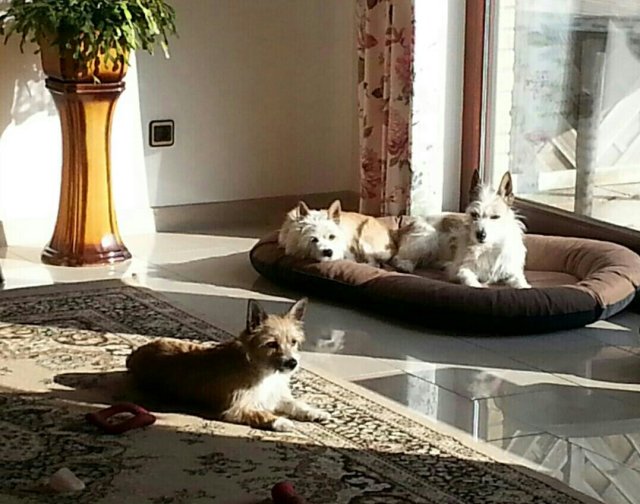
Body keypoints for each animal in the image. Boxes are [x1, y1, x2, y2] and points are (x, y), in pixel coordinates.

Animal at [126, 298, 331, 432]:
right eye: (271, 344)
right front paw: (281, 421)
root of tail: (134, 355)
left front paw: (315, 412)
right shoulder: (236, 409)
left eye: (294, 342)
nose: (293, 363)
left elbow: (296, 404)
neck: (263, 371)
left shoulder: (277, 396)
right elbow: (261, 414)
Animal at [391, 170, 530, 289]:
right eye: (474, 214)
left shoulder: (511, 270)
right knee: (398, 257)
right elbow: (469, 279)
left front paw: (524, 287)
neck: (488, 247)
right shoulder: (461, 269)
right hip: (427, 238)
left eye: (495, 217)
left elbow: (520, 282)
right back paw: (405, 265)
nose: (480, 235)